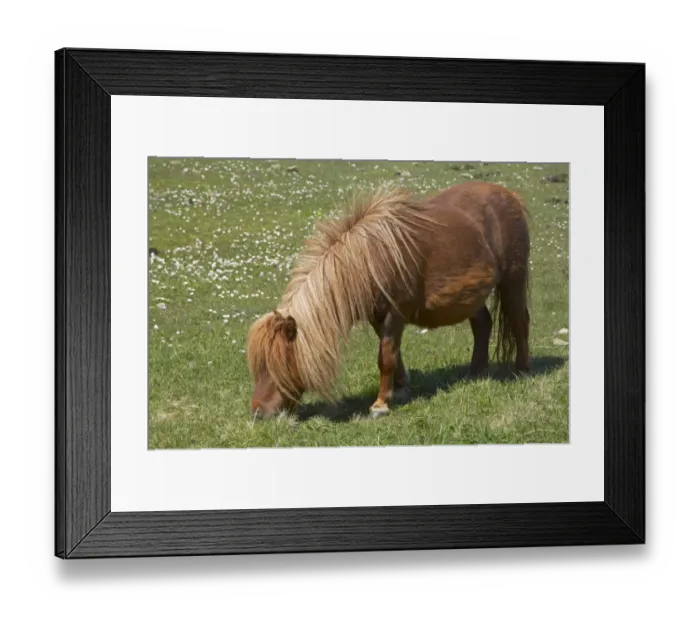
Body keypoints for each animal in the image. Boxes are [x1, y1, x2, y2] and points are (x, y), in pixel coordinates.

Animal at [246, 180, 531, 420]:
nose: (259, 413)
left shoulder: (396, 313)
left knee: (520, 322)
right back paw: (476, 373)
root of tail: (511, 196)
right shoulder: (378, 317)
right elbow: (394, 353)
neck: (371, 259)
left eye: (277, 363)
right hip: (472, 295)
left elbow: (385, 357)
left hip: (513, 280)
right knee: (483, 324)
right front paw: (402, 389)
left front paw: (380, 405)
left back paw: (522, 371)